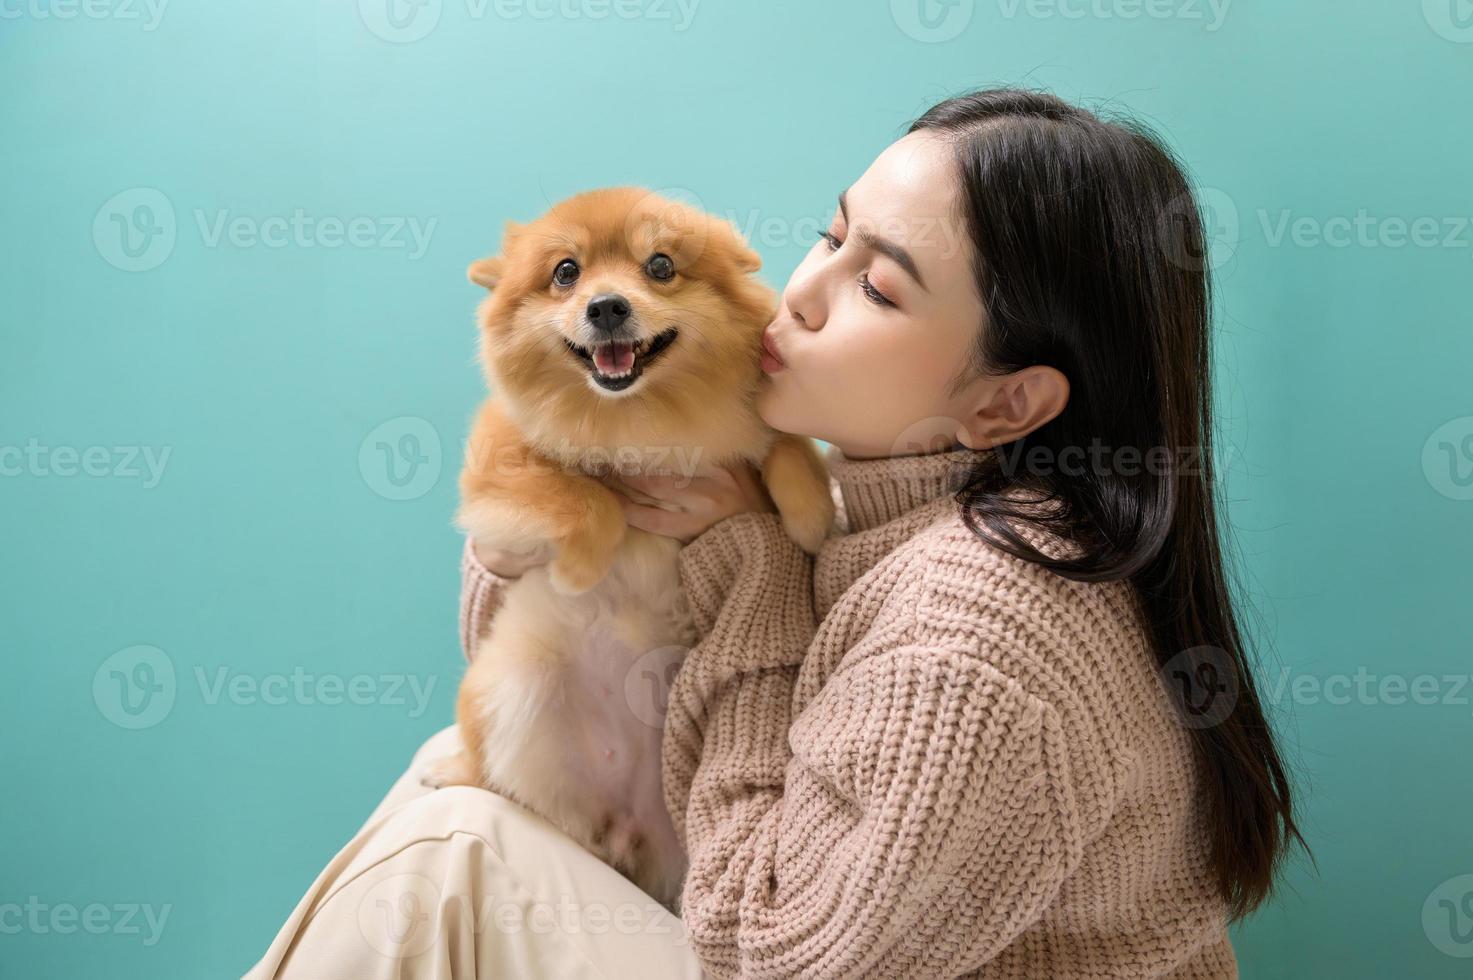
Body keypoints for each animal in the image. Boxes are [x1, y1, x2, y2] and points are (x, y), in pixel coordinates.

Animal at [430, 187, 842, 907]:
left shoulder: (753, 421)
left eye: (660, 265)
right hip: (509, 681)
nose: (606, 306)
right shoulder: (497, 468)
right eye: (566, 273)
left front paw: (810, 517)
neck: (637, 417)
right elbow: (587, 497)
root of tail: (623, 827)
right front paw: (578, 568)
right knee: (498, 779)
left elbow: (787, 447)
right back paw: (455, 772)